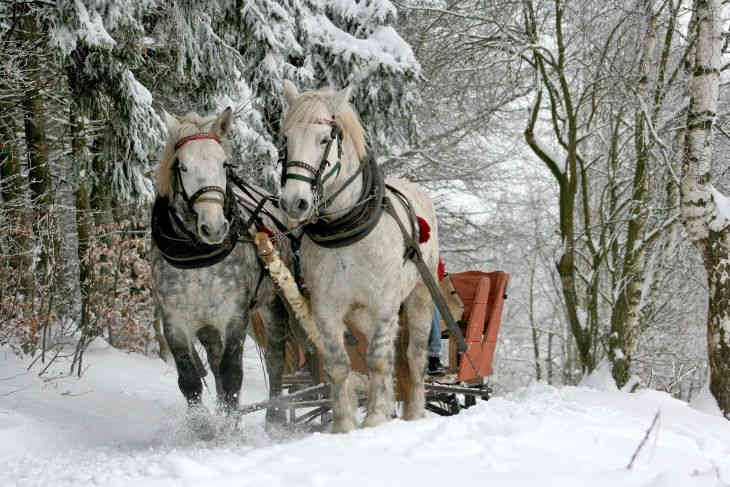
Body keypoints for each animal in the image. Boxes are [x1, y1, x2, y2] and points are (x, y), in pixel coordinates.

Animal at [278, 81, 438, 434]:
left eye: (324, 139)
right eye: (286, 139)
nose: (294, 202)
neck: (346, 227)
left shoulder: (384, 304)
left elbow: (378, 360)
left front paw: (376, 416)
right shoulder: (326, 307)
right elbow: (339, 364)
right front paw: (344, 424)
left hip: (419, 295)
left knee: (413, 356)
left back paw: (414, 412)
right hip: (360, 314)